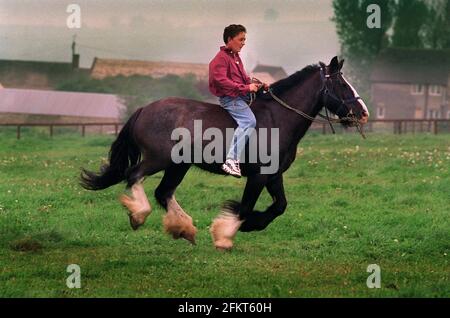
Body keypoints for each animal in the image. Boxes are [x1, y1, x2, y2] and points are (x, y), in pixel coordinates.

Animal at [81, 57, 370, 251]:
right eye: (342, 84)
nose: (363, 113)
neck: (278, 119)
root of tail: (143, 109)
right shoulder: (258, 176)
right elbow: (245, 207)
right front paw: (224, 235)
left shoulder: (274, 175)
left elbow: (279, 206)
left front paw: (252, 224)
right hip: (158, 159)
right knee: (134, 175)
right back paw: (140, 214)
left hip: (178, 165)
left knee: (163, 192)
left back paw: (184, 229)